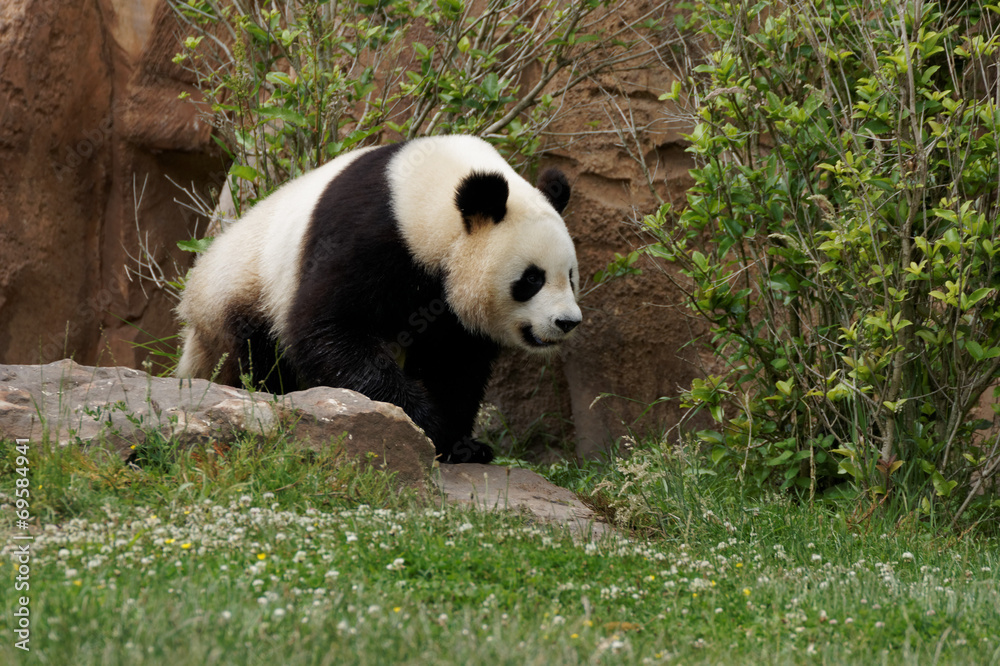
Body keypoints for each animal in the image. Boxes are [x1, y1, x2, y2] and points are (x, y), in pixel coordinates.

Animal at [175, 135, 581, 463]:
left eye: (571, 277)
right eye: (532, 279)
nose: (567, 322)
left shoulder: (445, 306)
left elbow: (454, 361)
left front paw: (462, 444)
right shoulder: (367, 233)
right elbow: (326, 328)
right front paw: (424, 422)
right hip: (243, 292)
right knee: (255, 357)